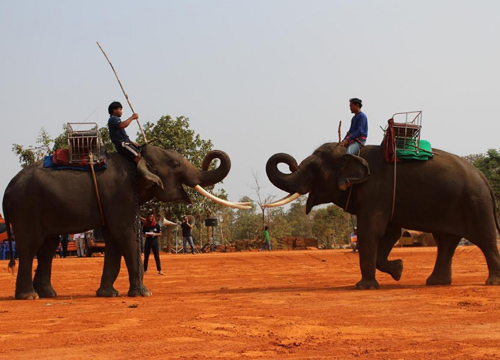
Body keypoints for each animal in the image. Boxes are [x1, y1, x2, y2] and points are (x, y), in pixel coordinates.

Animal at [1, 145, 248, 300]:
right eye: (176, 165)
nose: (211, 157)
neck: (136, 158)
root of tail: (8, 189)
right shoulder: (119, 194)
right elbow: (125, 234)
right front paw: (143, 293)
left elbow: (113, 239)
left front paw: (109, 294)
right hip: (26, 208)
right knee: (29, 246)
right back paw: (29, 296)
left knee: (47, 247)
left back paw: (48, 294)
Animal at [266, 143, 500, 290]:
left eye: (314, 168)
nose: (291, 163)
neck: (354, 151)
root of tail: (484, 178)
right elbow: (390, 232)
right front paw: (399, 270)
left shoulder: (376, 190)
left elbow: (371, 229)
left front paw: (364, 287)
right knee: (446, 240)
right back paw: (436, 282)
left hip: (475, 203)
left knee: (484, 238)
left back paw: (492, 282)